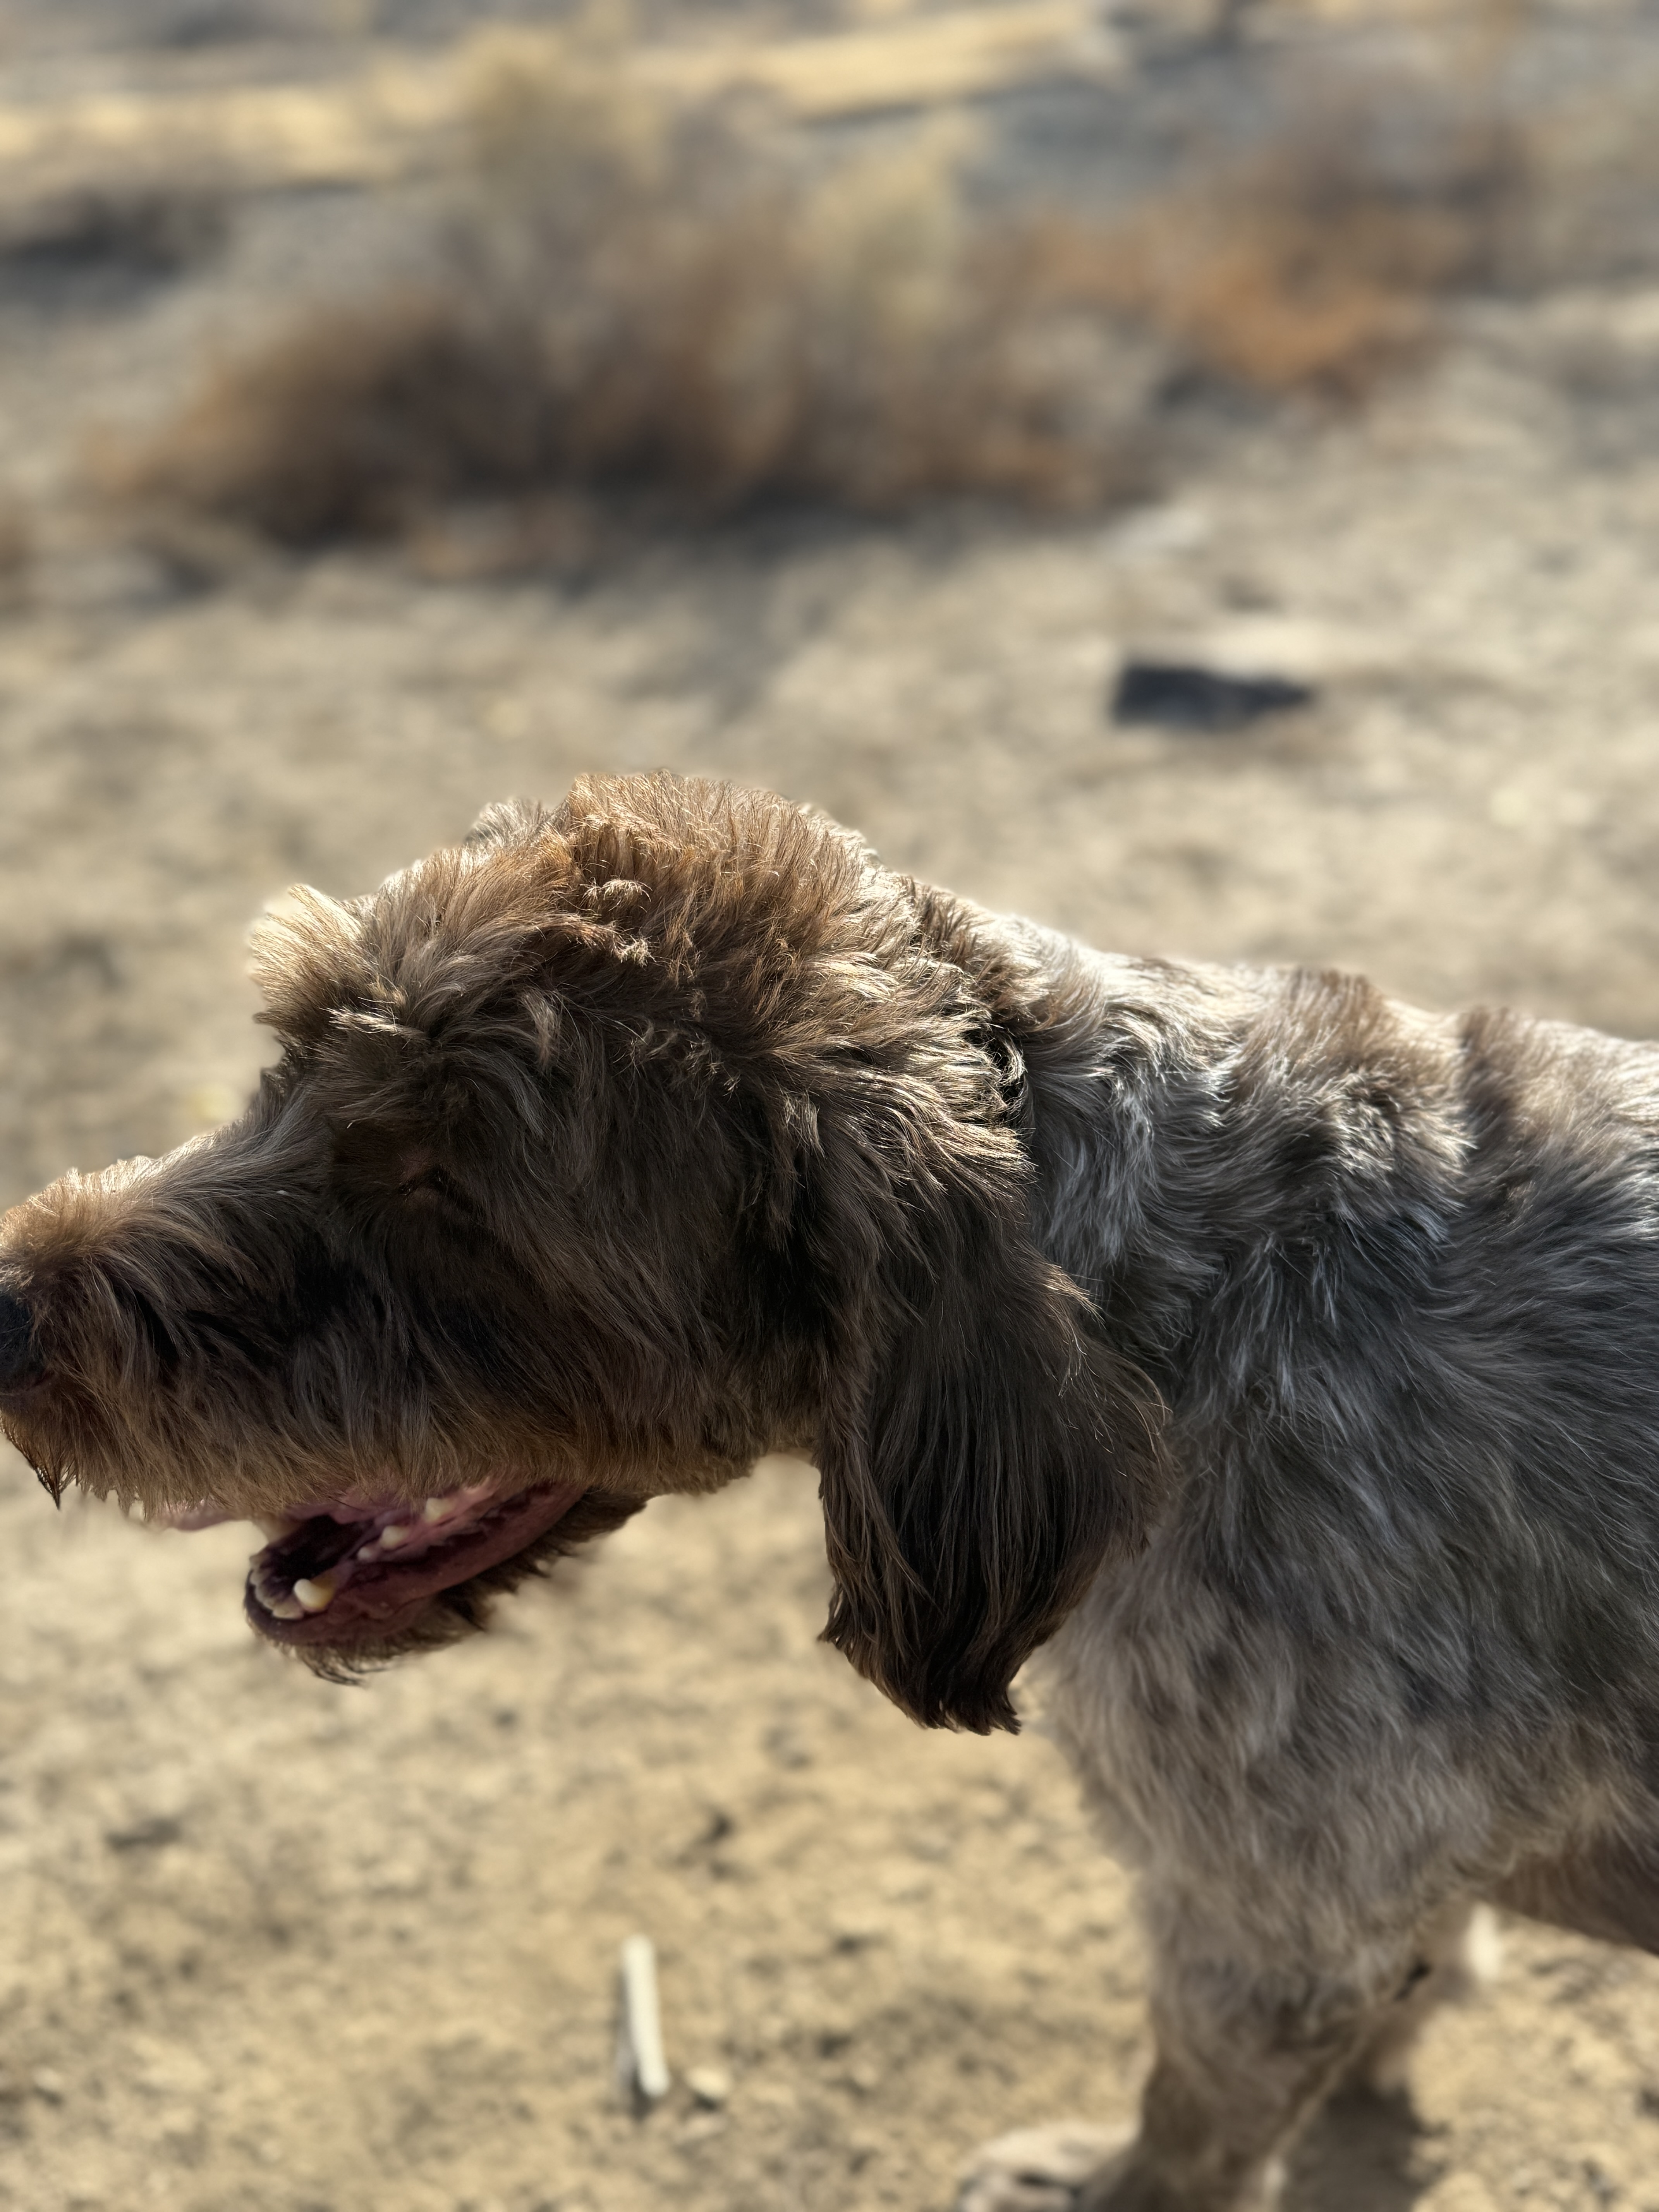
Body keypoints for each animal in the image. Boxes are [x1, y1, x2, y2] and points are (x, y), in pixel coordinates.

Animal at [4, 771, 1659, 2212]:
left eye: (446, 1192)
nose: (12, 1314)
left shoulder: (1264, 1914)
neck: (1186, 1284)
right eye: (285, 1057)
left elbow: (1184, 2125)